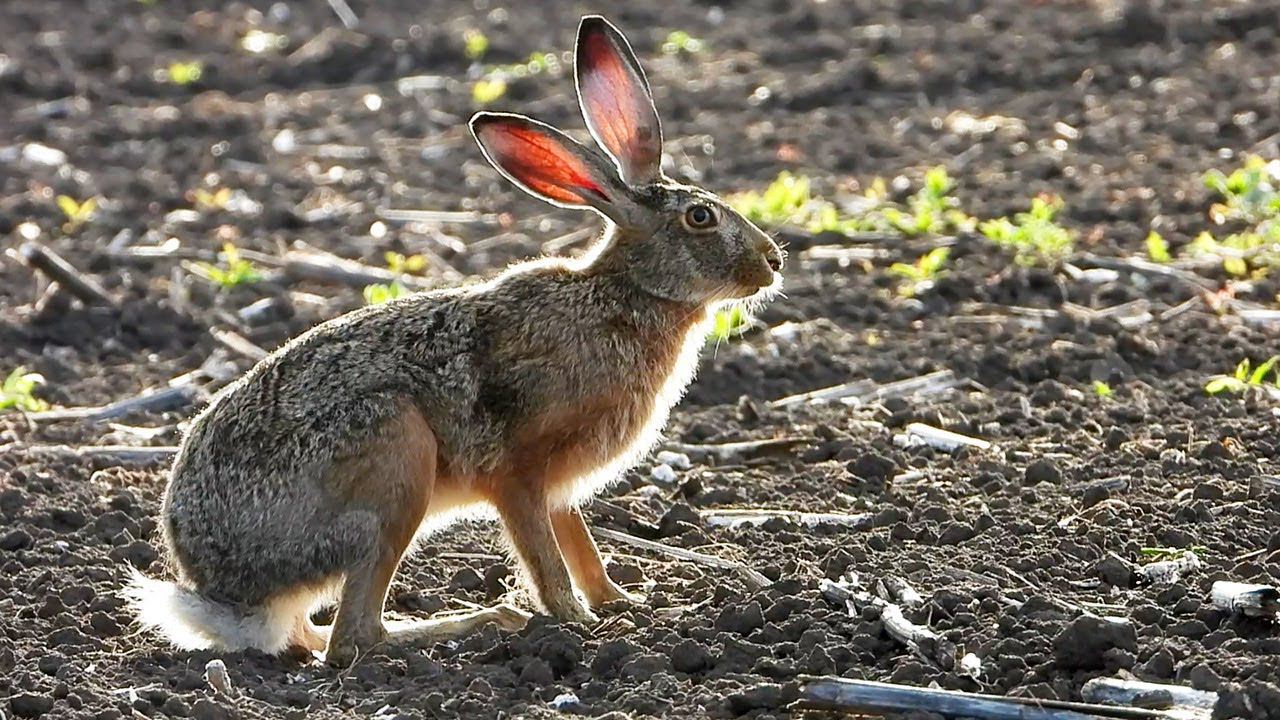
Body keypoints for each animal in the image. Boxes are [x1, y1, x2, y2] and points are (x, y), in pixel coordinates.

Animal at [126, 15, 784, 667]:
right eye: (701, 218)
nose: (774, 261)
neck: (627, 295)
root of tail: (227, 595)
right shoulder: (519, 471)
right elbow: (545, 557)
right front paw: (579, 622)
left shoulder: (560, 488)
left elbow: (581, 546)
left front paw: (625, 604)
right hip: (395, 462)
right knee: (353, 639)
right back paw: (485, 621)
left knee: (313, 637)